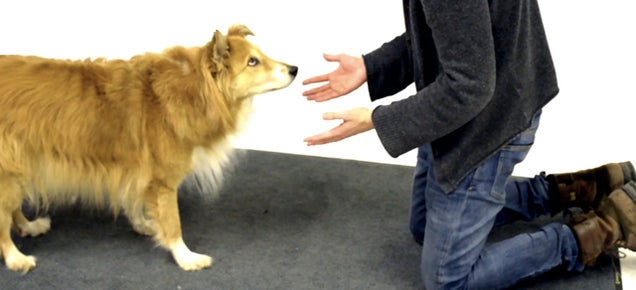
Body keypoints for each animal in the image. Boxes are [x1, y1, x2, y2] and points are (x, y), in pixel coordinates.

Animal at [0, 23, 298, 274]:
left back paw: (29, 226)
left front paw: (144, 224)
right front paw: (186, 257)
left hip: (19, 164)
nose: (294, 69)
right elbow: (173, 223)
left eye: (261, 55)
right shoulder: (163, 181)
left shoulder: (136, 169)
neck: (193, 88)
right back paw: (16, 258)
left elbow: (135, 200)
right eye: (252, 62)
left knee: (12, 208)